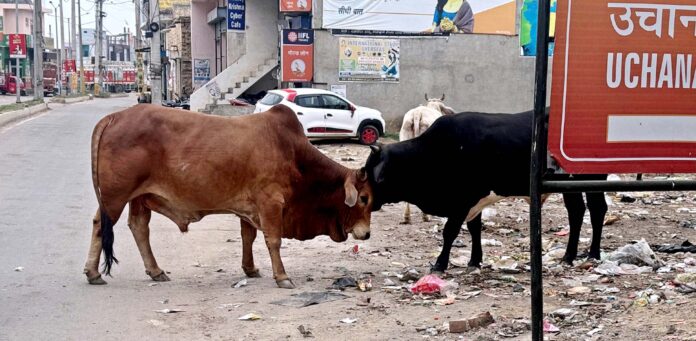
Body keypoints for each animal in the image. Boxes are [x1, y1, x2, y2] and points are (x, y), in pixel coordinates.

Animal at [84, 103, 376, 286]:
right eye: (364, 198)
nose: (367, 233)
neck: (294, 154)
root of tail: (114, 117)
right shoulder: (270, 203)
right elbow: (273, 240)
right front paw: (282, 277)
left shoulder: (249, 208)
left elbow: (248, 237)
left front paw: (251, 269)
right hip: (116, 196)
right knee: (102, 225)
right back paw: (93, 273)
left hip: (138, 197)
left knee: (137, 227)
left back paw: (154, 271)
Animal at [368, 109, 608, 270]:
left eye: (374, 176)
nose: (365, 201)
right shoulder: (474, 202)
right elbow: (475, 229)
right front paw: (475, 260)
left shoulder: (462, 201)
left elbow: (449, 232)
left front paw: (440, 263)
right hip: (569, 184)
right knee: (576, 211)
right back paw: (568, 256)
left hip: (592, 178)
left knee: (597, 209)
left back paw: (593, 254)